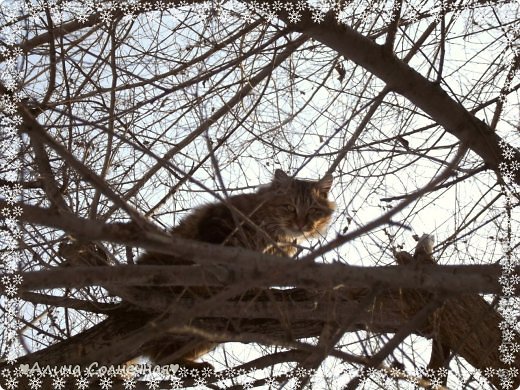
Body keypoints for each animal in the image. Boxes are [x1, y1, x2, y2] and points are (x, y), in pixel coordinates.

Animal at [136, 168, 336, 368]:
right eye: (289, 207)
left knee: (163, 358)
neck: (273, 236)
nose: (301, 224)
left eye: (313, 210)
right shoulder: (219, 224)